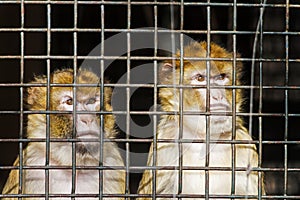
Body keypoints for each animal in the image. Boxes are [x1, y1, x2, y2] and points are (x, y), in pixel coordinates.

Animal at [138, 41, 264, 199]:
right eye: (200, 78)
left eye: (221, 77)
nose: (218, 96)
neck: (204, 138)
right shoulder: (164, 145)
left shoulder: (244, 144)